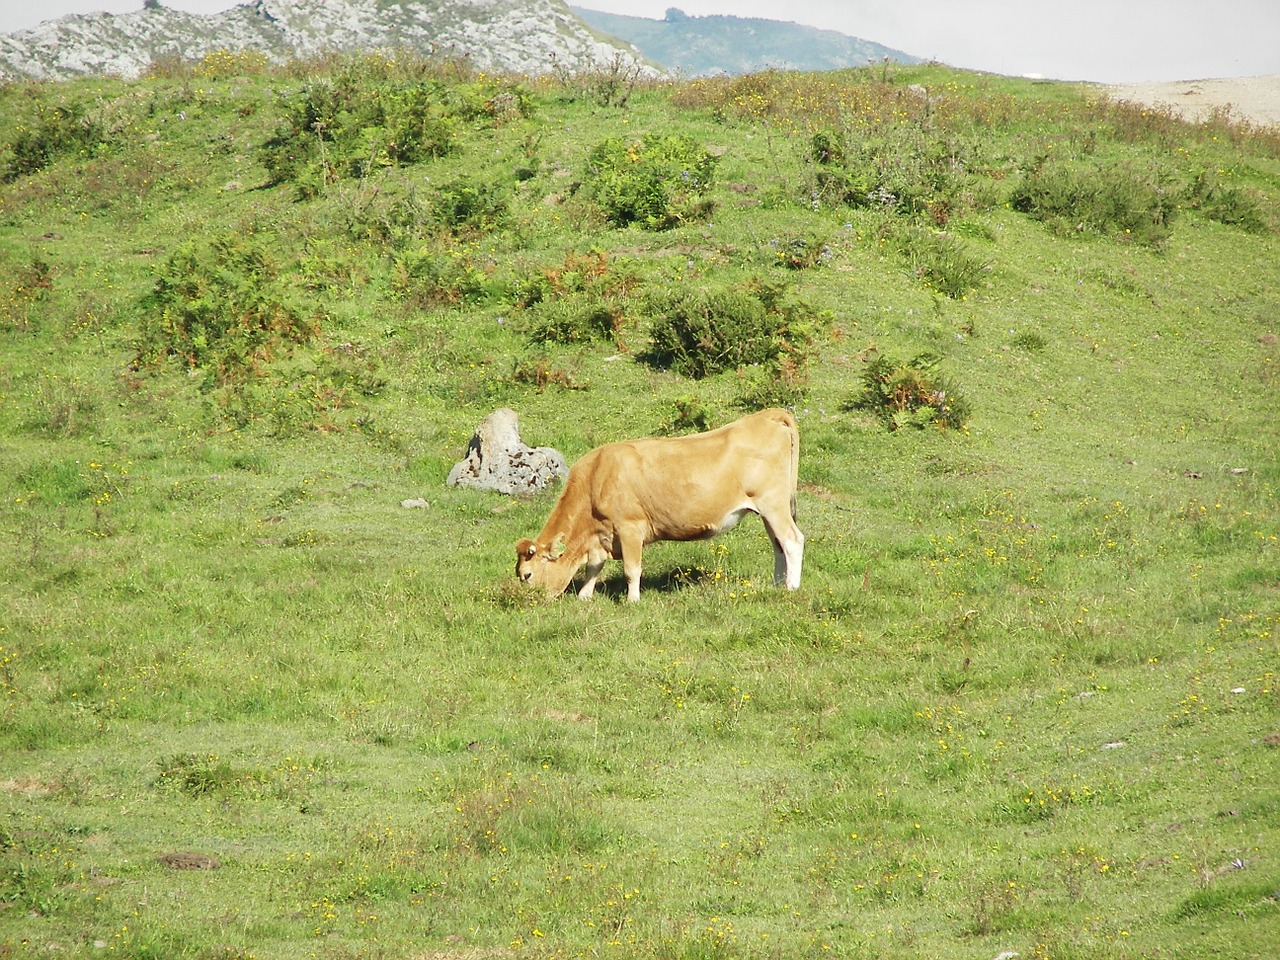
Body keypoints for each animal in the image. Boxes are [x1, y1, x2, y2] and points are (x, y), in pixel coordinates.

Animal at [517, 409, 798, 604]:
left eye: (527, 575)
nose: (529, 602)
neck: (597, 475)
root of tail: (768, 415)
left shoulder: (629, 527)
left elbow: (631, 569)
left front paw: (632, 601)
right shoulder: (601, 535)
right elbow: (594, 567)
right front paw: (584, 596)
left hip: (773, 503)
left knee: (792, 541)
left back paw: (792, 588)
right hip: (768, 509)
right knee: (778, 545)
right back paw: (777, 585)